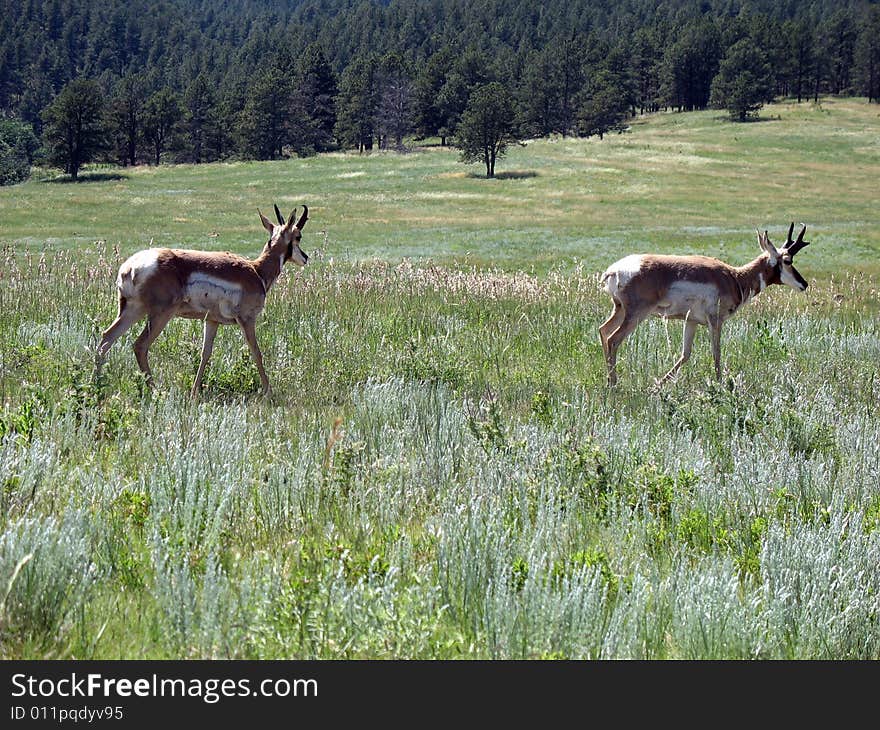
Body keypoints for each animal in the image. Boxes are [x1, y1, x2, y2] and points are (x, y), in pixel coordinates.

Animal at [95, 202, 310, 396]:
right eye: (298, 236)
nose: (306, 258)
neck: (256, 270)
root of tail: (130, 267)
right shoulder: (247, 320)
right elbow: (256, 351)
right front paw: (268, 392)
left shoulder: (212, 321)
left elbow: (205, 353)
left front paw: (194, 392)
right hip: (160, 315)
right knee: (140, 345)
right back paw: (155, 391)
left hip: (132, 311)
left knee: (106, 338)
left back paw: (96, 385)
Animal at [600, 223, 812, 384]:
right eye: (788, 260)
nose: (804, 284)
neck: (734, 277)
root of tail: (614, 270)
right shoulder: (715, 321)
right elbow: (716, 353)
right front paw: (720, 385)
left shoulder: (691, 321)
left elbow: (685, 354)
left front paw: (656, 387)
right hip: (636, 315)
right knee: (613, 339)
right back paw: (614, 386)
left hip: (619, 310)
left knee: (603, 330)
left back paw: (609, 382)